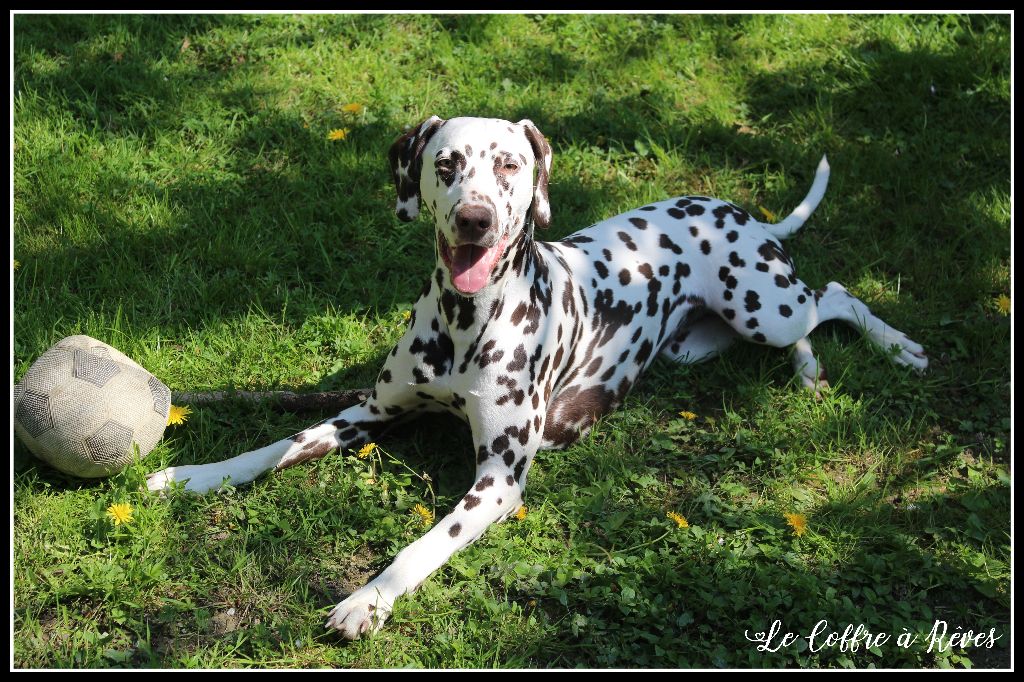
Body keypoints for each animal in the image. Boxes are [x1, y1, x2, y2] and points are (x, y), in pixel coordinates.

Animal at [149, 115, 929, 638]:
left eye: (508, 165)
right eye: (446, 164)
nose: (474, 218)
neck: (466, 323)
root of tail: (742, 212)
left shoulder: (498, 484)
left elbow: (422, 545)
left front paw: (366, 598)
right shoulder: (369, 411)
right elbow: (274, 447)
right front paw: (191, 475)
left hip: (766, 307)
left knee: (835, 294)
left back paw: (897, 349)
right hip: (705, 342)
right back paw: (811, 369)